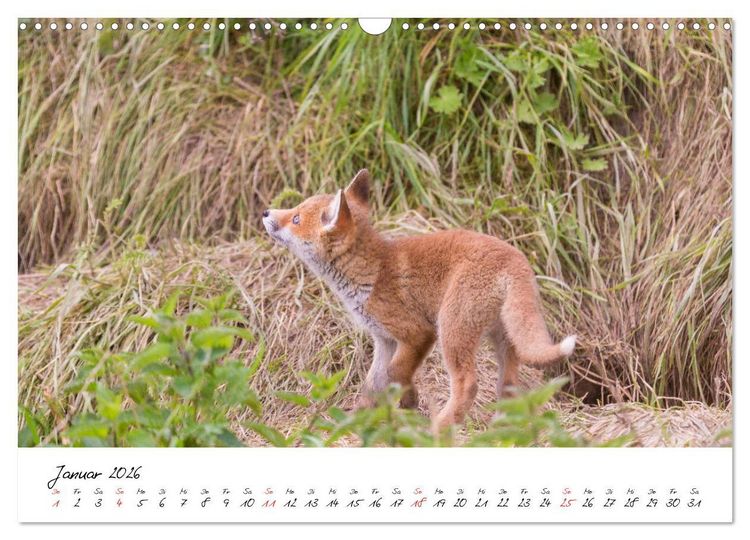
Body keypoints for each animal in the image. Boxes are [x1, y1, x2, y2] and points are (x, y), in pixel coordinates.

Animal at [262, 169, 576, 430]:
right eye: (295, 210)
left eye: (296, 219)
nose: (265, 211)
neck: (371, 273)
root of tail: (516, 259)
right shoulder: (384, 341)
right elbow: (372, 385)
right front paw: (355, 421)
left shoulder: (417, 333)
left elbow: (397, 371)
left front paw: (409, 400)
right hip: (504, 340)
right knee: (509, 387)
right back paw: (502, 427)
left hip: (451, 331)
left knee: (468, 385)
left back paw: (441, 426)